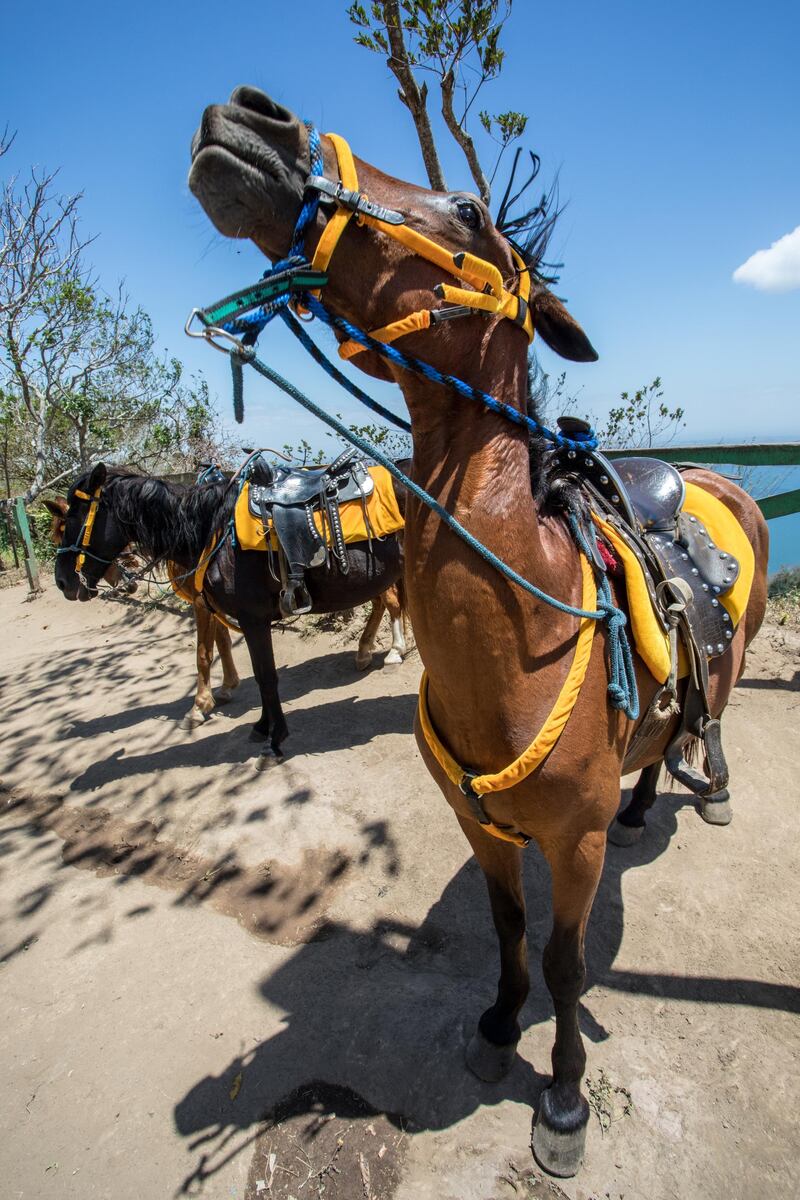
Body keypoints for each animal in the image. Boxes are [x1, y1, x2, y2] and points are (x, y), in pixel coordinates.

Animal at [54, 463, 407, 753]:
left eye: (75, 517)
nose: (62, 582)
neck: (211, 533)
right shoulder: (216, 607)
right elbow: (223, 649)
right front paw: (237, 705)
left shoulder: (251, 618)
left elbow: (255, 671)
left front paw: (268, 732)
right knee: (385, 601)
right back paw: (369, 652)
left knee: (390, 603)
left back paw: (389, 653)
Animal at [188, 88, 767, 1176]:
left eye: (464, 208)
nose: (251, 119)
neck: (521, 631)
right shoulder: (478, 824)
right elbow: (505, 931)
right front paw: (499, 1025)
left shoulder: (572, 844)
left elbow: (566, 961)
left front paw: (564, 1102)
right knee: (655, 745)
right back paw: (644, 802)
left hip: (732, 657)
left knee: (707, 719)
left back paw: (706, 789)